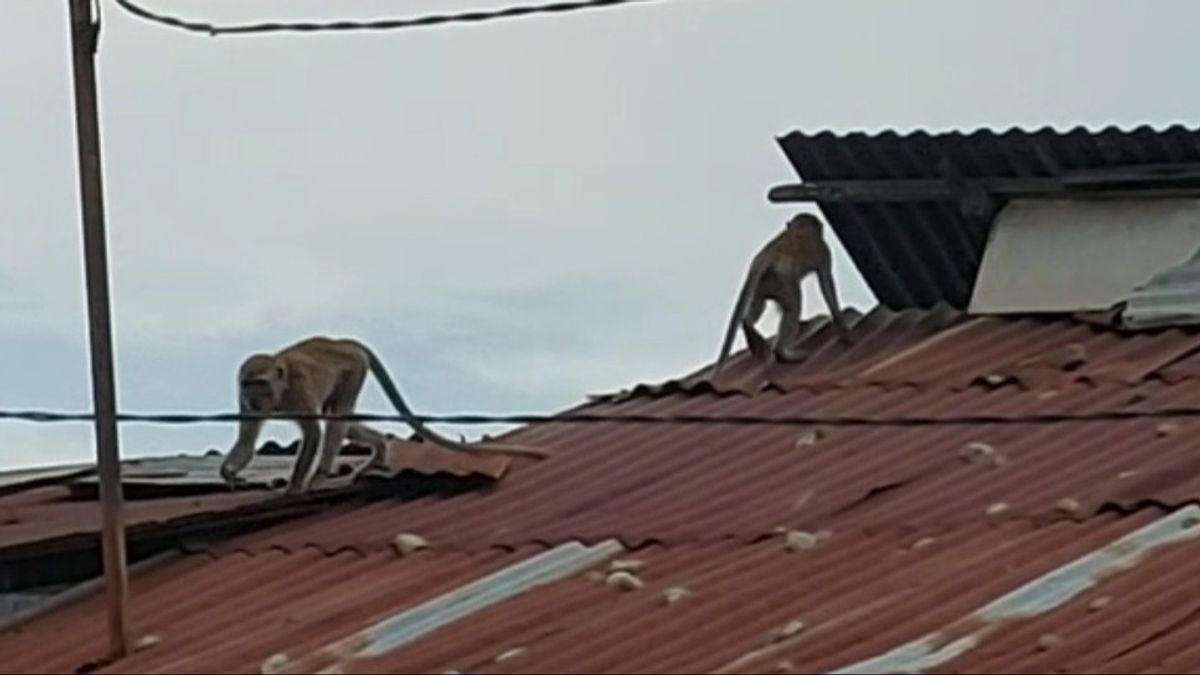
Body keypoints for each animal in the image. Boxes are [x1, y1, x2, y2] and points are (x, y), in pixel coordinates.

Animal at [219, 333, 549, 492]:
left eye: (261, 383)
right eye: (248, 384)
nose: (254, 397)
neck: (280, 387)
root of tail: (345, 343)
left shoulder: (299, 391)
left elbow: (313, 433)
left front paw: (295, 487)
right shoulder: (242, 399)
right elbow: (248, 440)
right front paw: (228, 472)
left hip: (354, 369)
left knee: (337, 420)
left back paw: (321, 475)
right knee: (345, 423)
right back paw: (379, 449)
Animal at [710, 212, 854, 374]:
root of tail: (762, 260)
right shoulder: (824, 252)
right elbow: (826, 283)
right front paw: (841, 323)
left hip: (764, 284)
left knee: (759, 303)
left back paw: (747, 324)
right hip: (782, 281)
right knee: (794, 305)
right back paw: (781, 353)